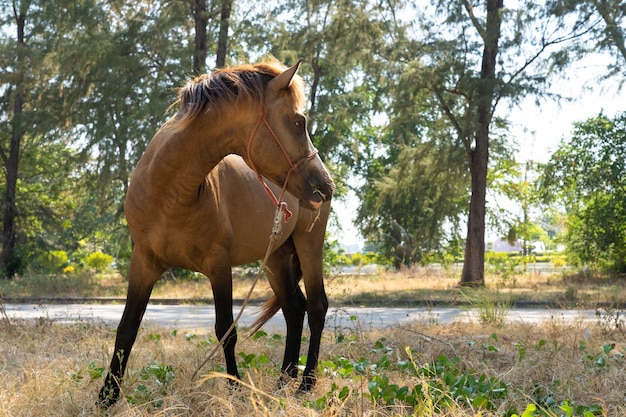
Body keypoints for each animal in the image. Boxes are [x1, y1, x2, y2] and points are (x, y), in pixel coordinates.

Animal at [97, 59, 334, 406]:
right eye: (299, 121)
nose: (325, 185)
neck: (171, 194)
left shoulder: (218, 264)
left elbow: (226, 329)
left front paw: (234, 389)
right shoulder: (143, 262)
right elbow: (127, 328)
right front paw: (107, 396)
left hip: (308, 245)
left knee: (317, 308)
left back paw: (305, 383)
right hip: (276, 257)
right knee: (294, 308)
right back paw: (282, 380)